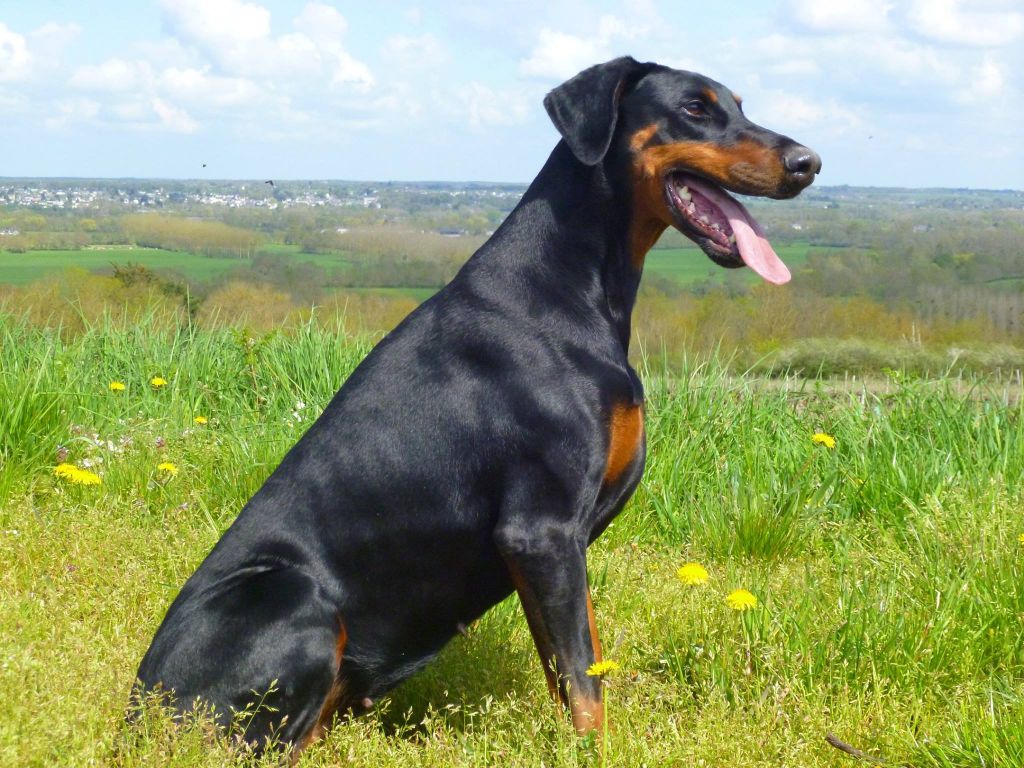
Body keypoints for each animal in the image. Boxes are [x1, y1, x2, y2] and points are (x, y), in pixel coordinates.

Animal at [138, 57, 823, 753]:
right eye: (694, 108)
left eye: (740, 104)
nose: (809, 162)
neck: (574, 285)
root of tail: (140, 711)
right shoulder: (541, 529)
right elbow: (581, 680)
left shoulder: (564, 544)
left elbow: (583, 663)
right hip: (292, 599)